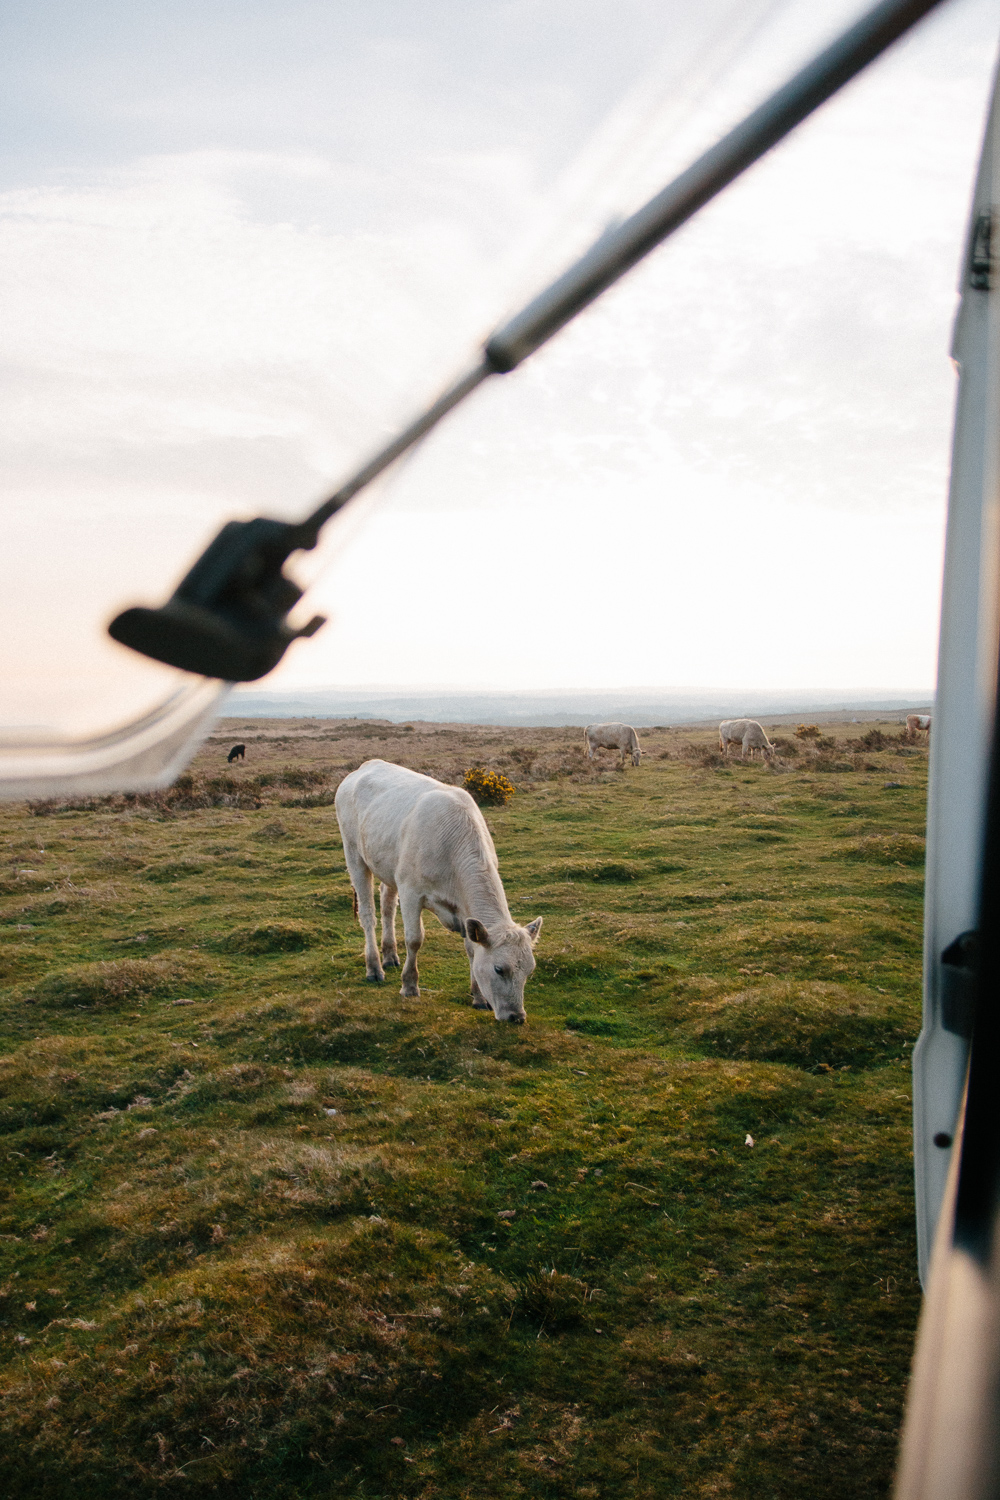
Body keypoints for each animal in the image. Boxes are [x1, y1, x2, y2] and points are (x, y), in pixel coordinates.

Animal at [334, 762, 539, 1020]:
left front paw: (478, 997)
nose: (517, 1017)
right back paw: (374, 967)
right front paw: (409, 986)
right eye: (499, 969)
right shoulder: (411, 891)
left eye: (529, 971)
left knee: (387, 906)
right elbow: (414, 939)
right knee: (368, 914)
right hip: (354, 854)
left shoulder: (463, 908)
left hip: (388, 866)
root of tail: (365, 765)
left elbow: (471, 949)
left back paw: (390, 955)